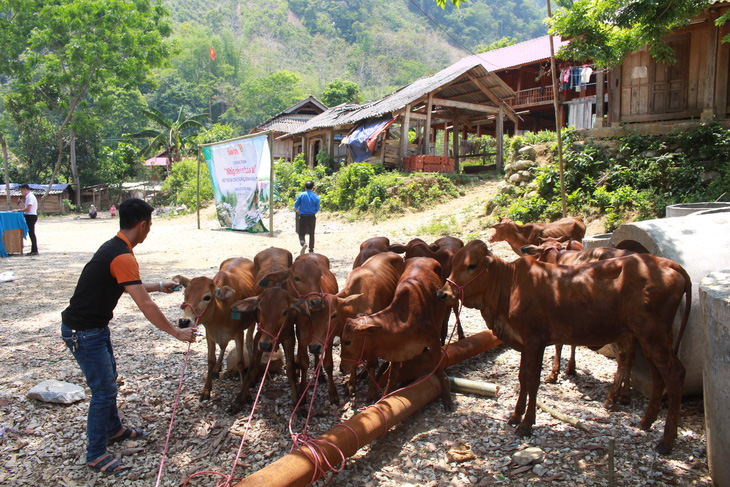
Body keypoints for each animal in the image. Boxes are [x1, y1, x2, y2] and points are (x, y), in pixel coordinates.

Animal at [173, 258, 256, 406]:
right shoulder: (209, 334)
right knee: (223, 347)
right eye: (185, 295)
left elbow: (240, 362)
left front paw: (244, 393)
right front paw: (206, 390)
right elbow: (210, 360)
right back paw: (217, 368)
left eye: (207, 297)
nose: (184, 321)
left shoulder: (238, 334)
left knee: (249, 342)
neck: (220, 312)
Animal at [340, 260, 450, 412]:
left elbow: (438, 369)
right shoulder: (399, 350)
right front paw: (383, 398)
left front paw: (446, 398)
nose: (341, 368)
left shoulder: (433, 340)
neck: (403, 320)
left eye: (347, 341)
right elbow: (392, 378)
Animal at [438, 242, 688, 456]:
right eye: (453, 264)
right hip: (649, 339)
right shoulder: (523, 343)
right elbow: (522, 378)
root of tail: (666, 263)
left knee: (674, 374)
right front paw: (516, 415)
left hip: (652, 335)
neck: (509, 286)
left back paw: (666, 441)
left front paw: (526, 424)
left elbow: (532, 381)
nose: (443, 294)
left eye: (472, 265)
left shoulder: (535, 341)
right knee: (658, 376)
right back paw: (646, 422)